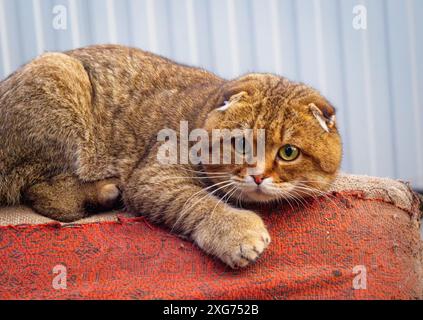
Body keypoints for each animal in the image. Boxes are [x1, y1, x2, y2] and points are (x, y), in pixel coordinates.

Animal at [0, 45, 342, 268]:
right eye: (241, 144)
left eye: (288, 152)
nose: (258, 176)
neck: (202, 114)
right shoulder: (155, 177)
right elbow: (200, 203)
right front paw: (236, 231)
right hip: (58, 77)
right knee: (47, 195)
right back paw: (103, 191)